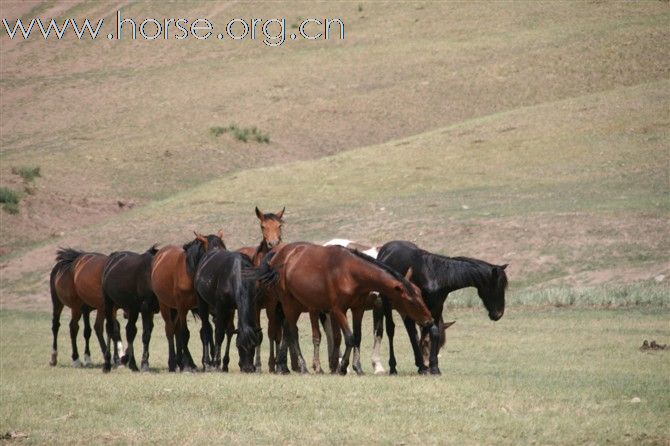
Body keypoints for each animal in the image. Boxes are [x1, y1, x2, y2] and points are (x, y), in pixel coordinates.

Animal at [101, 244, 160, 372]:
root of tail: (113, 257)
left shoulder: (151, 311)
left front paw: (126, 358)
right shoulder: (145, 307)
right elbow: (146, 335)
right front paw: (145, 364)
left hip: (132, 309)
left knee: (130, 331)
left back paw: (131, 363)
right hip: (109, 304)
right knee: (110, 329)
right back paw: (107, 364)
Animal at [152, 232, 226, 372]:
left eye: (224, 249)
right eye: (212, 254)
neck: (191, 272)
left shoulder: (205, 307)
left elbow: (206, 331)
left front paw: (209, 362)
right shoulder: (182, 308)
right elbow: (185, 334)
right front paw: (189, 365)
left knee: (176, 330)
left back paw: (181, 362)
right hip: (166, 306)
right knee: (170, 331)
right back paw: (174, 363)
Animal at [252, 242, 436, 374]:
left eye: (420, 295)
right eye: (411, 300)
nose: (429, 320)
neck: (349, 271)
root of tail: (279, 256)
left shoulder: (357, 309)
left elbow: (357, 337)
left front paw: (357, 366)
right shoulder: (338, 310)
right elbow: (349, 337)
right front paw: (343, 367)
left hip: (298, 305)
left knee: (290, 331)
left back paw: (285, 366)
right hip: (289, 303)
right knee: (292, 332)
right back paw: (302, 366)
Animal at [378, 239, 510, 374]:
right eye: (497, 287)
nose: (498, 314)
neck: (435, 275)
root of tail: (385, 250)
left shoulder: (436, 309)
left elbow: (433, 334)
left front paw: (433, 367)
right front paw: (430, 367)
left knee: (411, 330)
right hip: (388, 303)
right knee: (391, 330)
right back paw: (394, 367)